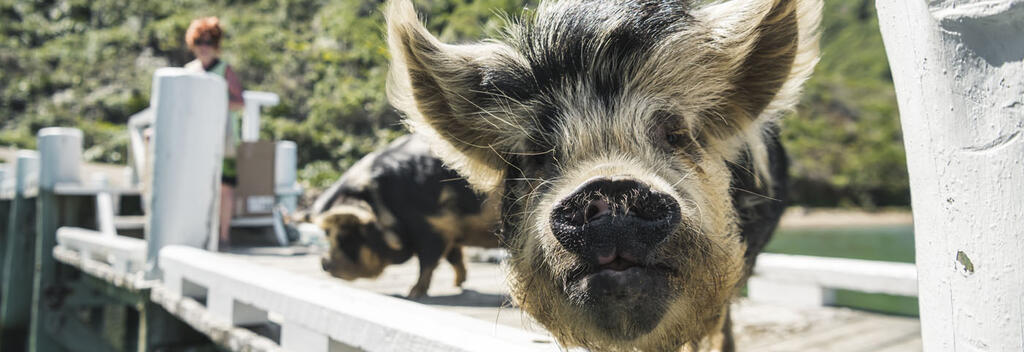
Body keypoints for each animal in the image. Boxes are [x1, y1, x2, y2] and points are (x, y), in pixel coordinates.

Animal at [313, 134, 501, 296]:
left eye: (347, 234)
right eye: (328, 234)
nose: (323, 262)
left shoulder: (433, 225)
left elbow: (428, 261)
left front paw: (412, 293)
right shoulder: (450, 228)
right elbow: (454, 257)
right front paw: (457, 284)